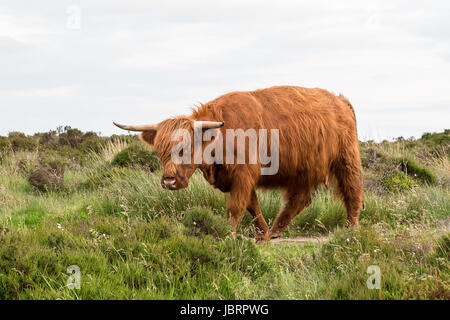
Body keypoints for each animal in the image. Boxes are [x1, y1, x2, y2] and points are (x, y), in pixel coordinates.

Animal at [114, 86, 364, 241]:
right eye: (160, 152)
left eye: (185, 149)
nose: (168, 181)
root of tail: (340, 100)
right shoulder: (238, 178)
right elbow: (252, 204)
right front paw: (262, 234)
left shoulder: (244, 175)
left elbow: (236, 206)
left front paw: (228, 234)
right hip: (301, 169)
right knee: (300, 198)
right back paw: (276, 230)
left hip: (347, 158)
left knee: (352, 191)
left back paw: (351, 229)